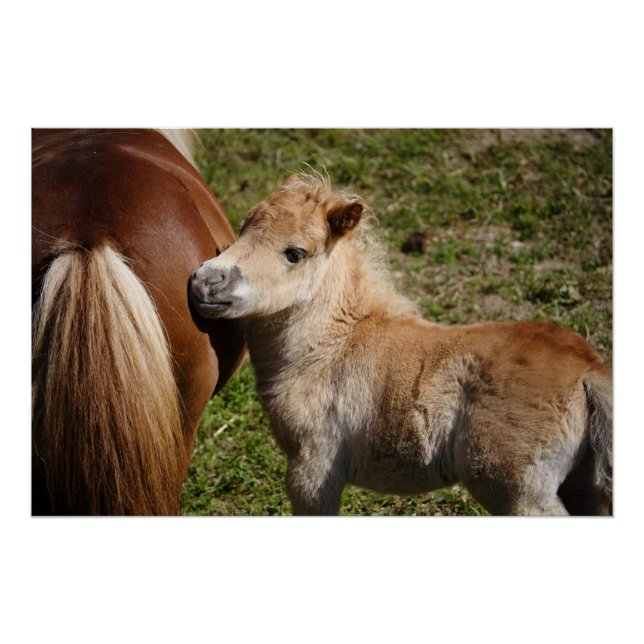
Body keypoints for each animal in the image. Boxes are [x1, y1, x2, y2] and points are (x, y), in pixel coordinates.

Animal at [189, 172, 613, 516]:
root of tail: (589, 371)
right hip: (585, 485)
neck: (328, 351)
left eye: (295, 253)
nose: (204, 282)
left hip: (521, 494)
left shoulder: (313, 467)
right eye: (242, 228)